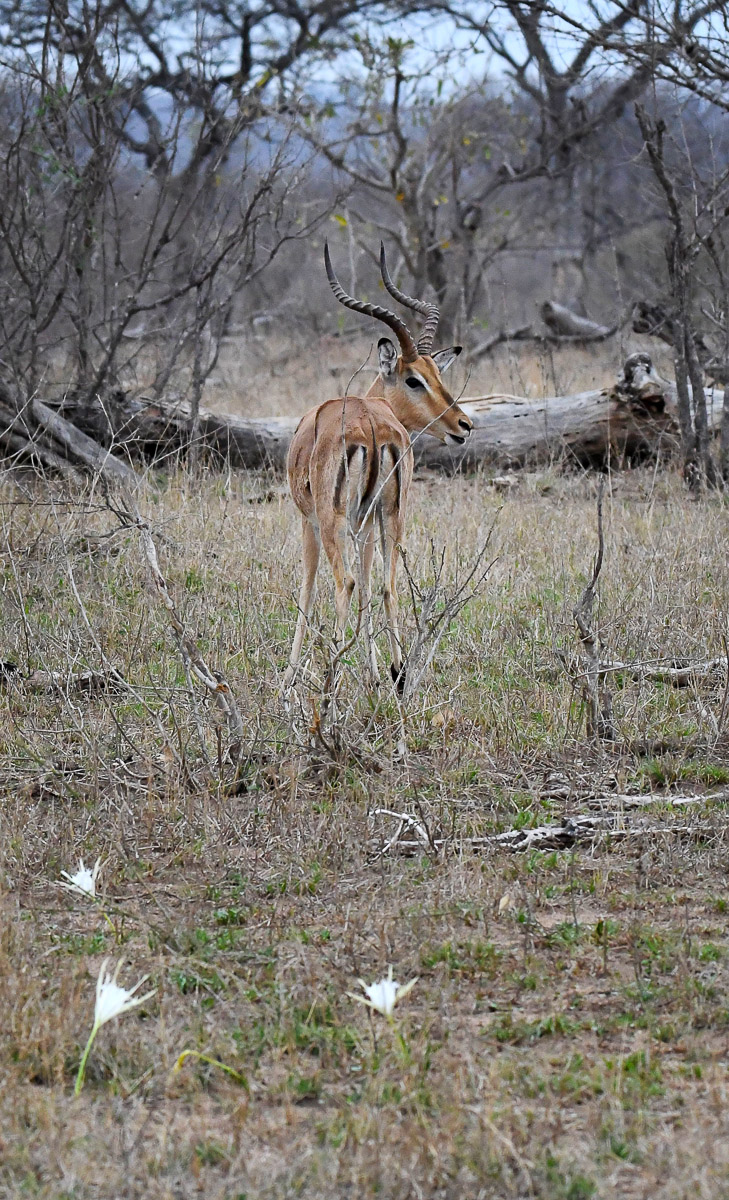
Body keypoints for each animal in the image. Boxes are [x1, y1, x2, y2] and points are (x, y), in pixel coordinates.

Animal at [282, 243, 473, 694]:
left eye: (434, 375)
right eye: (415, 378)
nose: (464, 425)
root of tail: (372, 425)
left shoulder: (309, 520)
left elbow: (308, 587)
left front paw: (289, 678)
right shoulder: (366, 522)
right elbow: (372, 585)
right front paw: (373, 672)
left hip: (334, 520)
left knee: (345, 582)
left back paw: (330, 681)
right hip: (391, 514)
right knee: (386, 584)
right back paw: (399, 675)